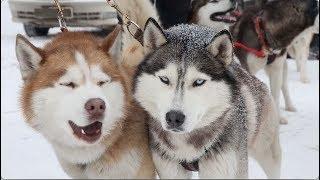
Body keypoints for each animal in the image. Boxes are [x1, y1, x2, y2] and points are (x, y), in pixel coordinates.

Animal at [190, 0, 318, 123]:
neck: (263, 33)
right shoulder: (247, 68)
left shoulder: (276, 69)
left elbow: (275, 96)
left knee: (284, 86)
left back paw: (289, 106)